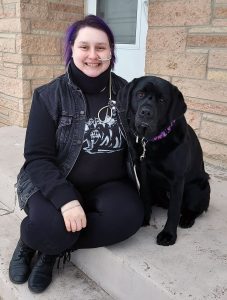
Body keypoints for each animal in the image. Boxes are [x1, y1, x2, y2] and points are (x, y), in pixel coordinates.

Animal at [118, 76, 210, 245]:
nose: (146, 112)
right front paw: (145, 219)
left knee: (193, 209)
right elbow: (145, 197)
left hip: (199, 187)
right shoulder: (142, 171)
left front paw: (168, 234)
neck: (152, 141)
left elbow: (174, 210)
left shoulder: (177, 180)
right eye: (140, 94)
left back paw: (187, 219)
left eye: (162, 100)